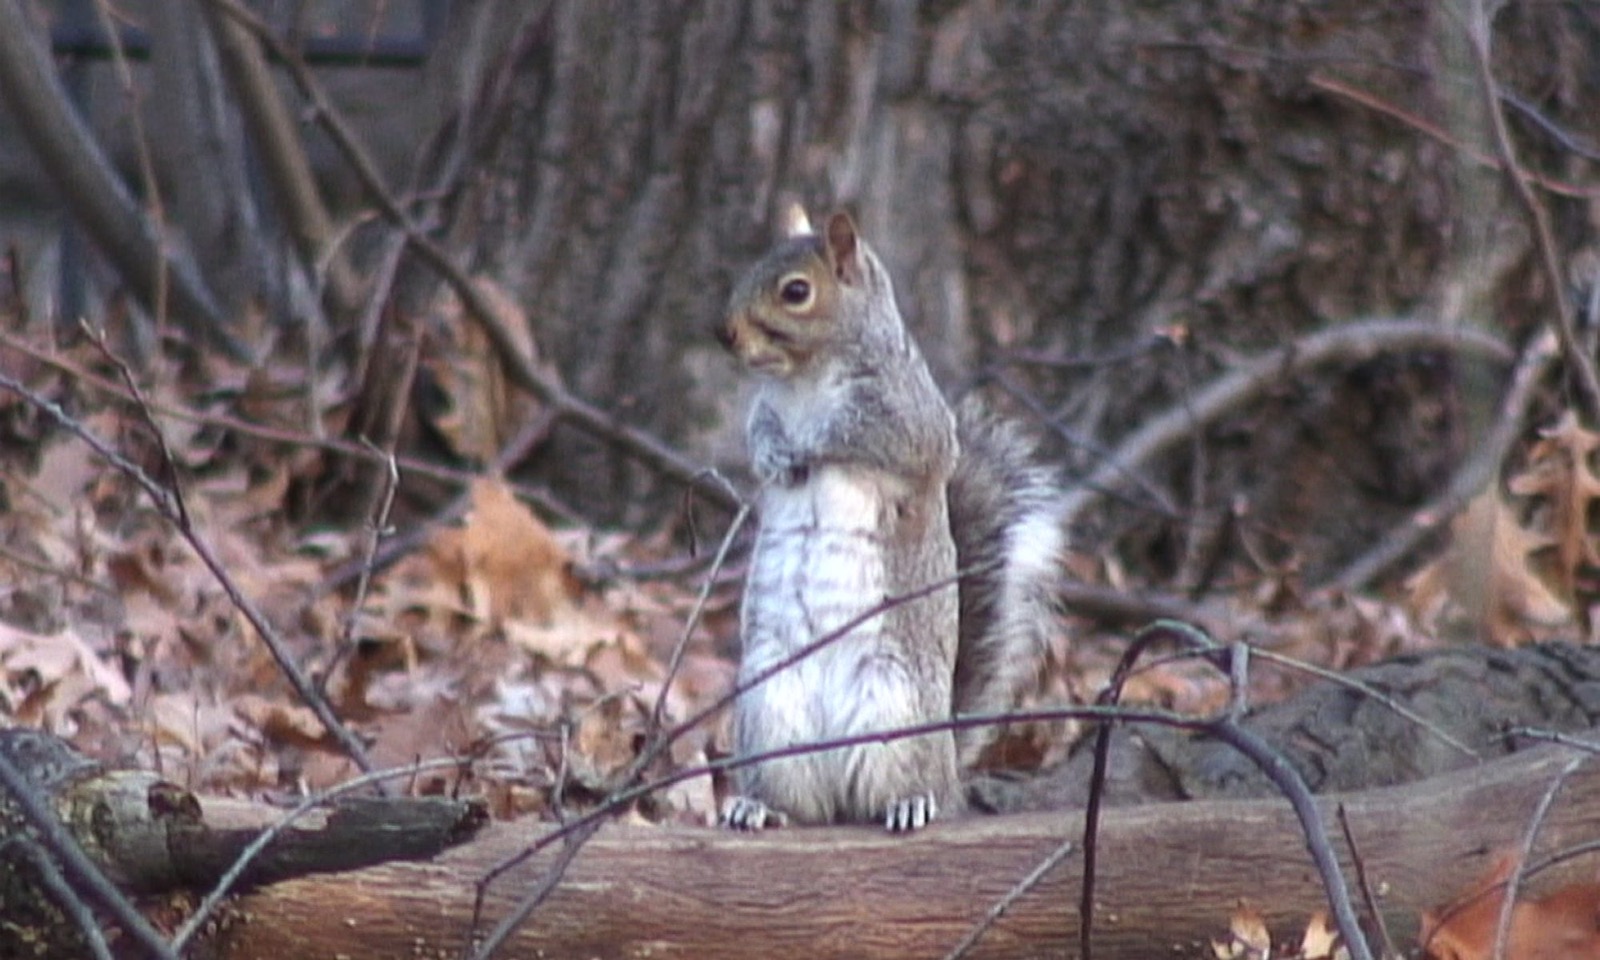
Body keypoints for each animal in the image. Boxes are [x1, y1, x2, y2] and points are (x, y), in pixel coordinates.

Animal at [714, 206, 1065, 832]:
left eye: (796, 292)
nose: (724, 332)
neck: (804, 377)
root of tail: (949, 768)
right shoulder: (765, 408)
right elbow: (759, 435)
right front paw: (777, 455)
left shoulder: (911, 419)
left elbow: (859, 435)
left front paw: (810, 445)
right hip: (769, 711)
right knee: (805, 804)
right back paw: (758, 806)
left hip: (894, 713)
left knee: (891, 791)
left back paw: (910, 804)